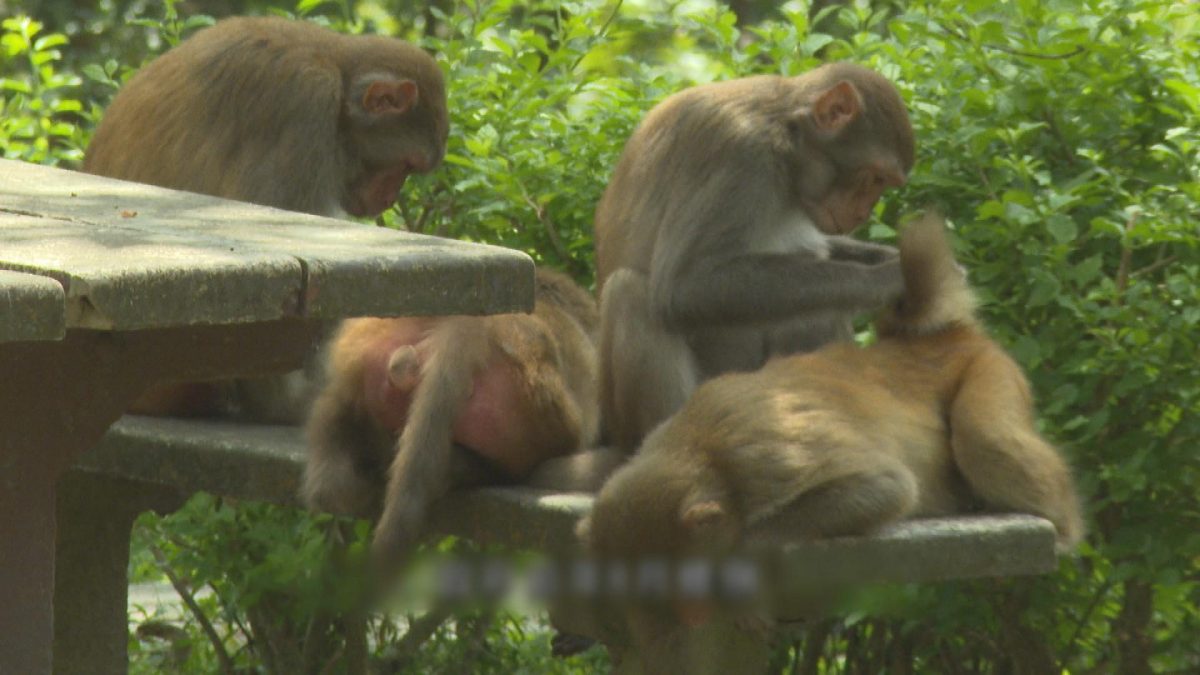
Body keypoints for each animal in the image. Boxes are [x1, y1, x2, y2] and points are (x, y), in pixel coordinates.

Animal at [580, 213, 1084, 610]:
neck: (697, 447)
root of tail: (930, 338)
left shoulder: (766, 460)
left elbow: (887, 486)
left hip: (987, 368)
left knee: (985, 441)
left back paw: (1061, 529)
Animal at [594, 62, 915, 451]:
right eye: (875, 177)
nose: (862, 214)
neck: (787, 141)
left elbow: (822, 248)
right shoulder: (741, 156)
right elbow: (685, 286)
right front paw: (890, 278)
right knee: (630, 291)